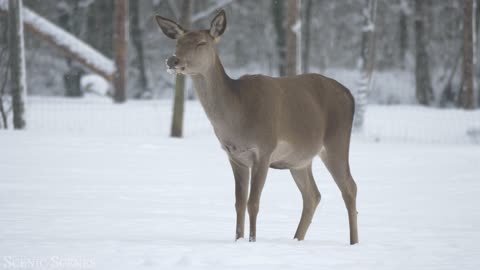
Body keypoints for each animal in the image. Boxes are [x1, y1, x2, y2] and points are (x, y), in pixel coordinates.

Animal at [156, 10, 358, 245]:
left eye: (201, 42)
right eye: (177, 42)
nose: (172, 60)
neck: (237, 117)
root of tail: (350, 95)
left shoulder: (264, 149)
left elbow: (253, 202)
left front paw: (252, 241)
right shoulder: (234, 156)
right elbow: (239, 203)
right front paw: (238, 239)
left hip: (337, 140)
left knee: (349, 187)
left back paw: (353, 242)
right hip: (299, 159)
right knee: (312, 195)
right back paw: (296, 239)